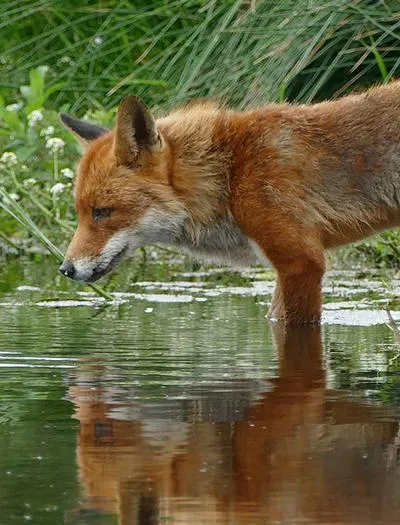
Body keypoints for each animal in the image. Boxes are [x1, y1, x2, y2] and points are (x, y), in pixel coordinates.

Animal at [58, 83, 400, 324]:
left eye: (102, 212)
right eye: (80, 213)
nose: (66, 269)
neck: (230, 174)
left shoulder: (301, 262)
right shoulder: (288, 267)